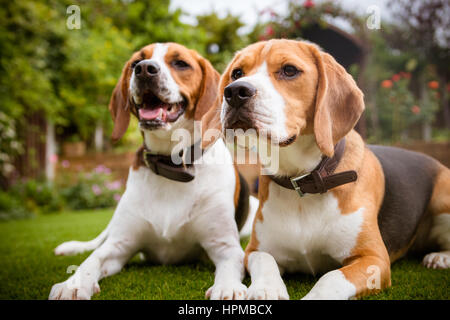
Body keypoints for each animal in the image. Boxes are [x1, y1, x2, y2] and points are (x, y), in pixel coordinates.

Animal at [49, 42, 255, 300]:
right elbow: (91, 260)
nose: (145, 69)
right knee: (96, 242)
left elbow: (230, 267)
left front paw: (228, 288)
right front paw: (73, 284)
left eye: (180, 63)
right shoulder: (119, 245)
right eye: (136, 62)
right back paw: (72, 247)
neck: (171, 164)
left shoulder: (225, 246)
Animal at [204, 39, 450, 300]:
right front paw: (265, 289)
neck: (302, 182)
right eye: (237, 73)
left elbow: (331, 277)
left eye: (289, 70)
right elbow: (266, 262)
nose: (234, 92)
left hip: (442, 199)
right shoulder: (254, 250)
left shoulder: (373, 259)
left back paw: (441, 257)